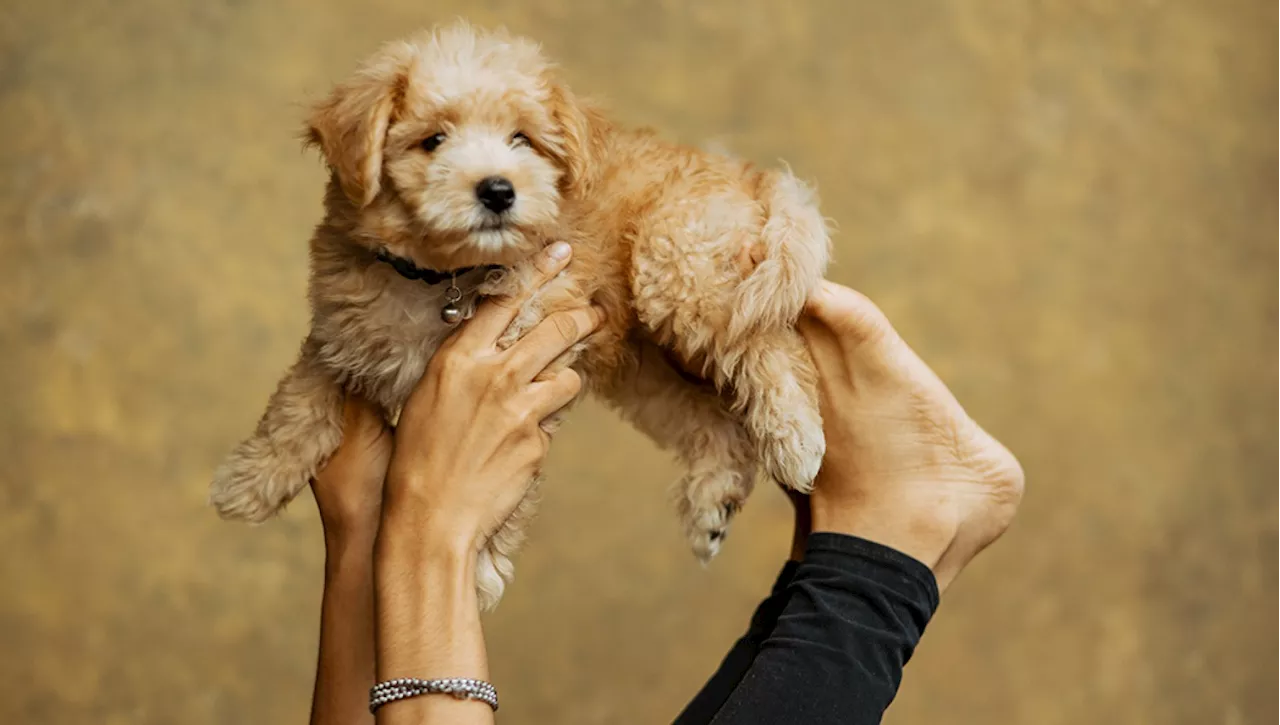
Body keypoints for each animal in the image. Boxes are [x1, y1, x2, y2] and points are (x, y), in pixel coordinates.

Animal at [209, 22, 829, 612]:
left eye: (522, 140)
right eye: (433, 141)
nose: (498, 190)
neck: (445, 276)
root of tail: (742, 172)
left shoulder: (529, 375)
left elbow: (502, 493)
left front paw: (479, 566)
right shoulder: (340, 335)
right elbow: (299, 403)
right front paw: (252, 479)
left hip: (681, 272)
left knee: (768, 343)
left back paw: (796, 438)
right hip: (650, 367)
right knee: (714, 420)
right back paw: (712, 505)